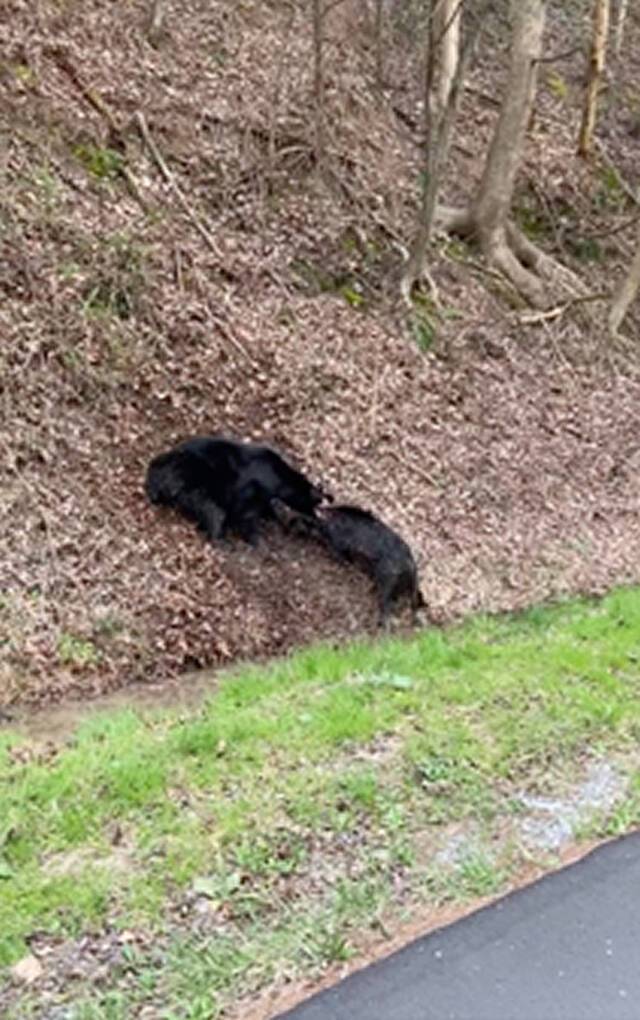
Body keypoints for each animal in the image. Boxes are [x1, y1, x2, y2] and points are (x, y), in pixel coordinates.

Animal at [145, 432, 330, 546]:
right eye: (313, 507)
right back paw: (223, 540)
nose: (318, 519)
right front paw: (257, 541)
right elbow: (245, 515)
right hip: (195, 482)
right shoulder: (250, 491)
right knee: (213, 510)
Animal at [271, 499, 426, 624]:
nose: (275, 502)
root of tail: (411, 566)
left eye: (292, 512)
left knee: (387, 607)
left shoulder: (337, 545)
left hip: (387, 580)